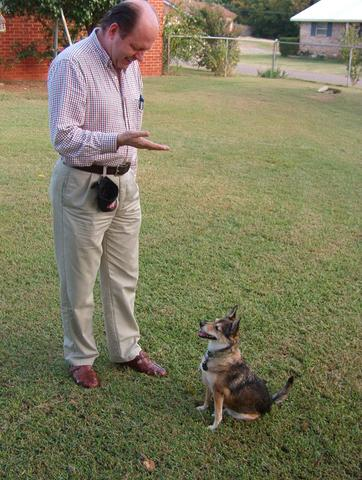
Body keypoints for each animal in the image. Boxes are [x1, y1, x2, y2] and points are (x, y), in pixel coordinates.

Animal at [198, 306, 294, 434]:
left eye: (217, 328)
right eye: (215, 320)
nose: (201, 323)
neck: (220, 354)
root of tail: (270, 402)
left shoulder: (218, 392)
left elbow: (219, 415)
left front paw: (213, 427)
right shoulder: (209, 385)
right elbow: (207, 399)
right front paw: (202, 408)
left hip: (242, 414)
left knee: (227, 411)